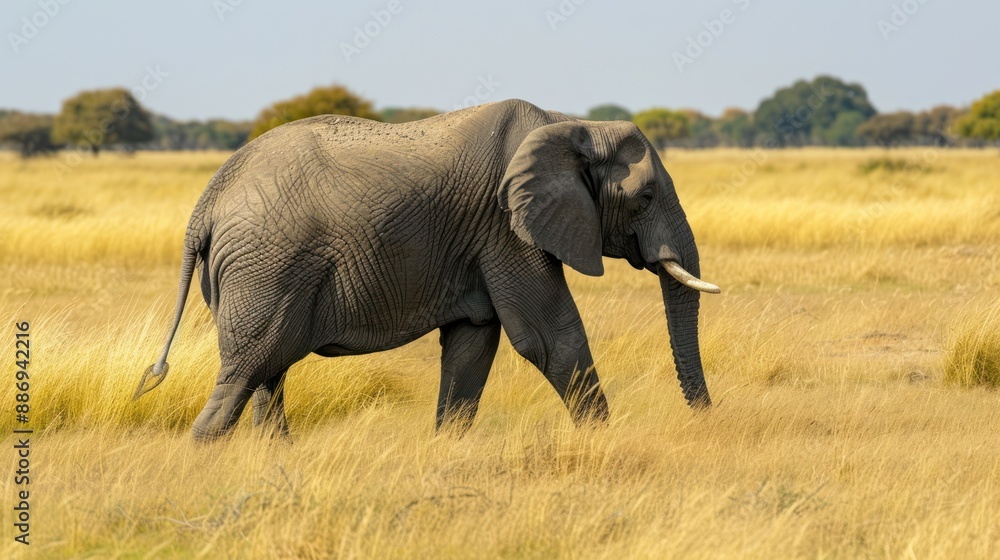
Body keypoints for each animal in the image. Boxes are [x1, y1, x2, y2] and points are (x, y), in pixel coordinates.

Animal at [133, 99, 720, 441]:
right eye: (646, 196)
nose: (706, 420)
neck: (572, 126)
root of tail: (206, 203)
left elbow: (473, 343)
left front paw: (447, 449)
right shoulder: (506, 226)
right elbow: (549, 338)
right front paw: (605, 442)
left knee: (265, 374)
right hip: (267, 267)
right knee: (247, 370)